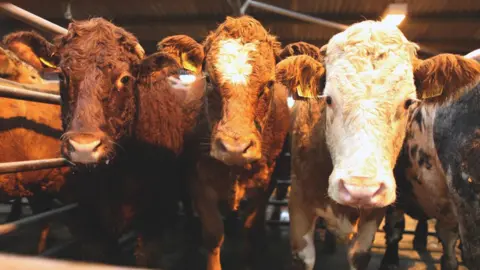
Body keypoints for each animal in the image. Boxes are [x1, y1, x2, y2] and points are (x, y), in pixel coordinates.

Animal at [182, 16, 288, 270]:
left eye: (269, 84)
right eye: (209, 79)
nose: (234, 149)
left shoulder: (265, 184)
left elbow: (250, 225)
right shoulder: (197, 180)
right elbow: (212, 233)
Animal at [282, 21, 424, 270]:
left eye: (408, 102)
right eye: (328, 99)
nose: (360, 188)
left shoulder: (374, 213)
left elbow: (359, 255)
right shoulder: (299, 201)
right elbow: (304, 258)